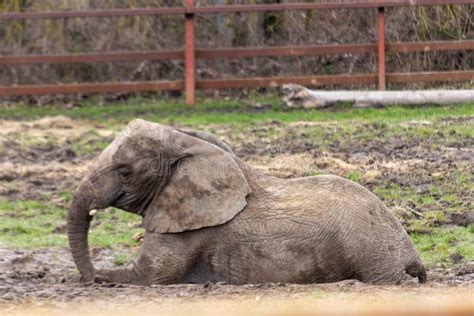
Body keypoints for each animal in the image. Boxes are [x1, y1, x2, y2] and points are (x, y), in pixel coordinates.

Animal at [68, 119, 428, 286]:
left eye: (125, 171)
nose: (90, 278)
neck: (189, 145)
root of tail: (410, 253)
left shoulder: (188, 227)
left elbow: (149, 276)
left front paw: (100, 278)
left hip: (372, 256)